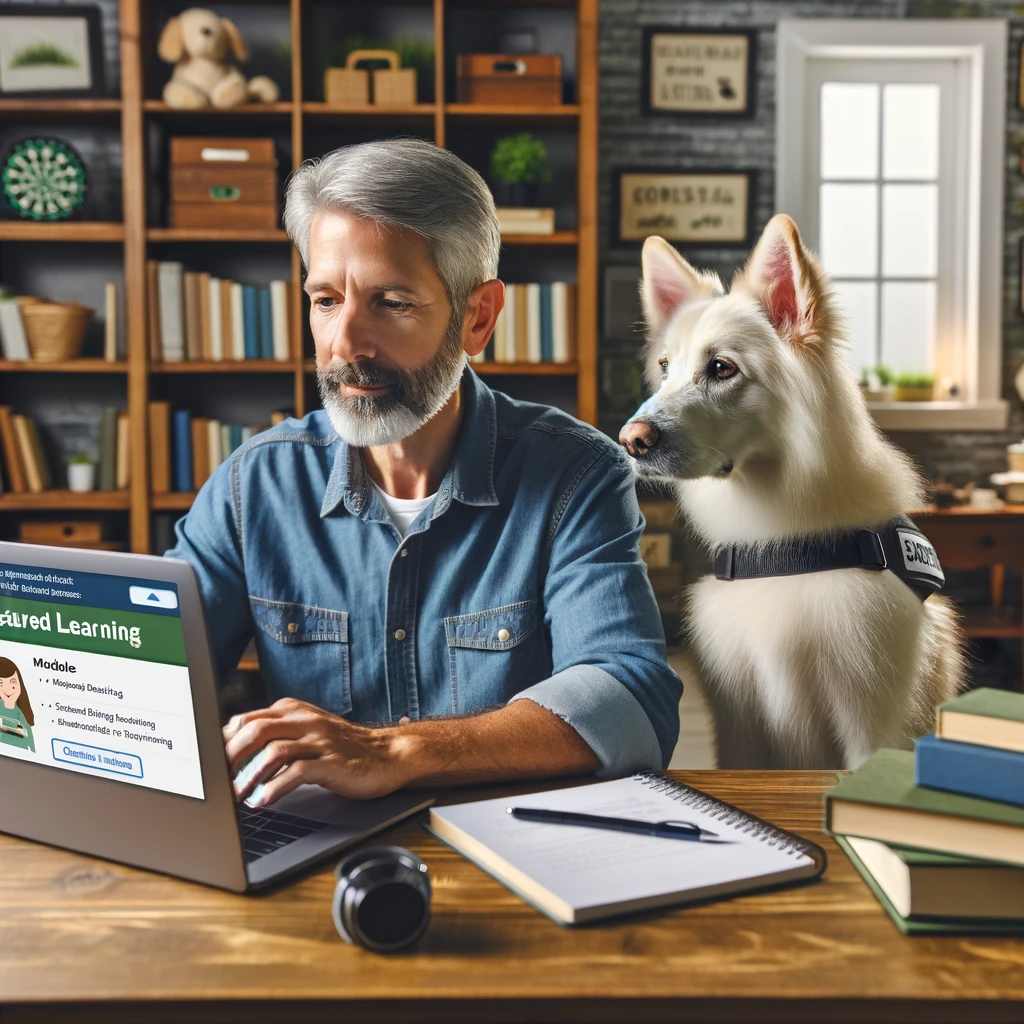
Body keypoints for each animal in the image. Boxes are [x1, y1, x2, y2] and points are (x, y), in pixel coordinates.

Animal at [618, 214, 962, 770]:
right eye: (666, 368)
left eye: (721, 368)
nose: (631, 440)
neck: (784, 549)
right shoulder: (739, 726)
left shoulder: (871, 720)